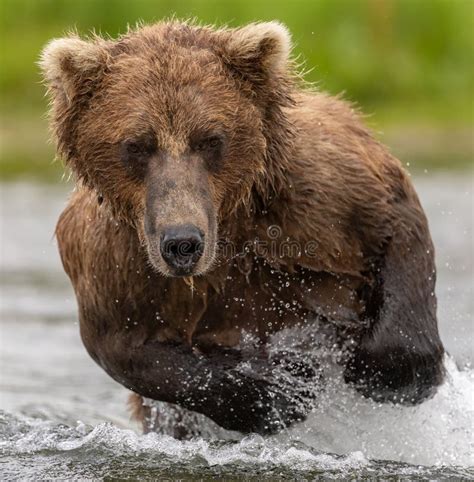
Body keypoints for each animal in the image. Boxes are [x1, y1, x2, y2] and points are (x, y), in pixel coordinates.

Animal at [39, 18, 444, 434]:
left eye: (210, 139)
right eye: (137, 144)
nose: (182, 242)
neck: (230, 229)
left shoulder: (322, 194)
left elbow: (394, 223)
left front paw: (385, 371)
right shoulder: (113, 262)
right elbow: (125, 348)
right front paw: (284, 385)